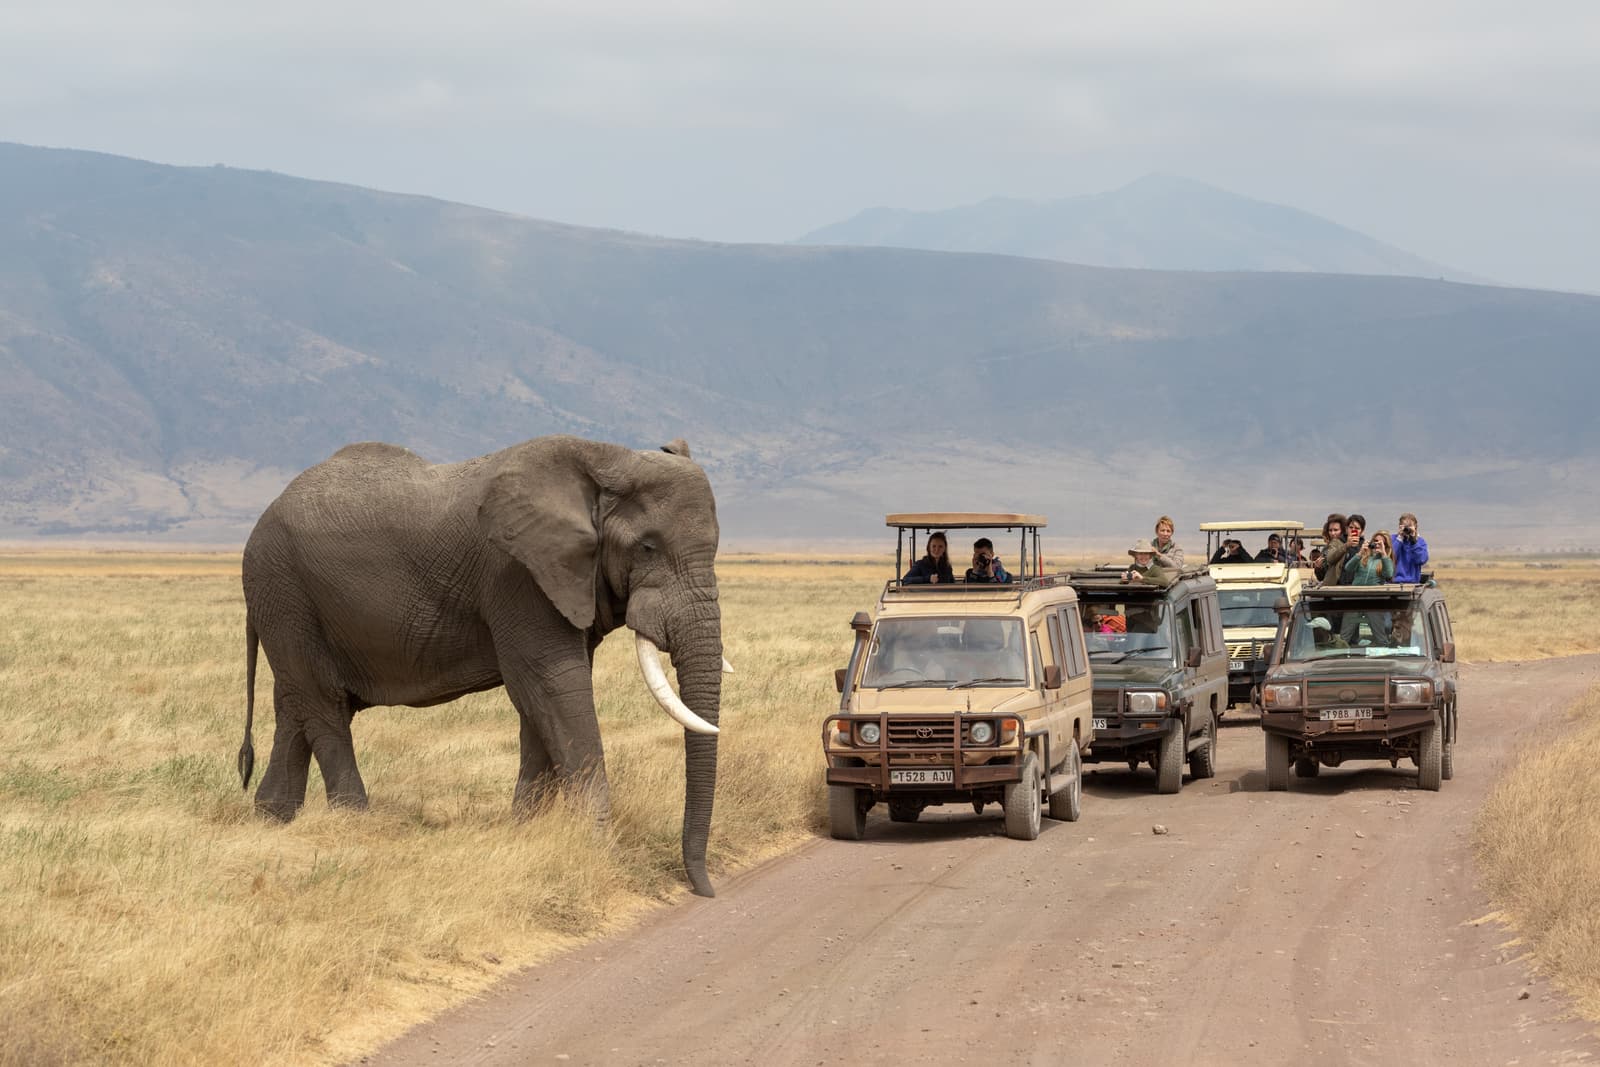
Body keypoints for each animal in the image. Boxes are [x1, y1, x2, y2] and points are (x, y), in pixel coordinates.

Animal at [236, 434, 725, 896]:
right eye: (647, 547)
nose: (703, 888)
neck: (609, 459)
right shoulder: (516, 574)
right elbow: (553, 684)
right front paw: (596, 847)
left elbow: (543, 700)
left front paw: (527, 831)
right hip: (283, 591)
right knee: (324, 707)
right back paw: (354, 821)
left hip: (290, 604)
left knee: (295, 707)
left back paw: (273, 817)